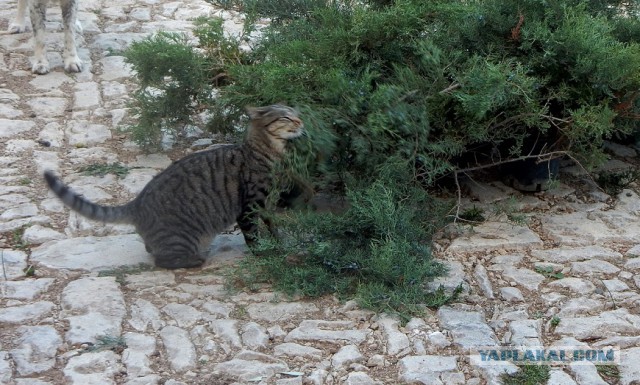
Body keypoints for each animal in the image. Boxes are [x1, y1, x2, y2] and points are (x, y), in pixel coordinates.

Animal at [45, 103, 304, 268]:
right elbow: (253, 236)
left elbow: (273, 227)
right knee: (162, 260)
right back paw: (194, 260)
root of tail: (136, 203)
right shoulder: (250, 206)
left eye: (296, 113)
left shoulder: (267, 203)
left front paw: (279, 243)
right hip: (184, 236)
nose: (301, 121)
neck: (272, 153)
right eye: (286, 117)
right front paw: (264, 253)